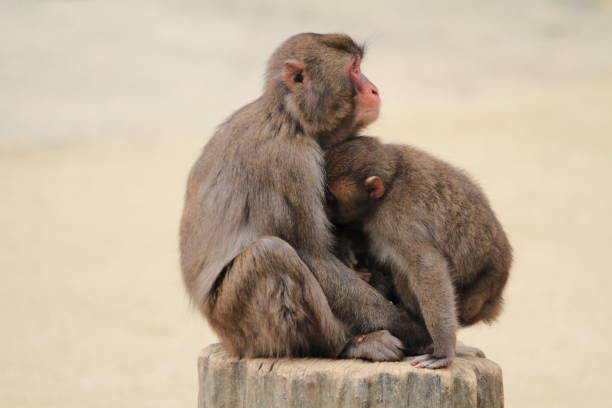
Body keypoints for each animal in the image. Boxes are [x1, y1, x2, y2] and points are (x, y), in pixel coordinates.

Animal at [179, 34, 432, 360]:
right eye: (354, 69)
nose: (374, 88)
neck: (291, 119)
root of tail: (228, 342)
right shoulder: (288, 164)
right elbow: (313, 257)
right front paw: (413, 329)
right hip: (238, 323)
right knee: (271, 255)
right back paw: (345, 344)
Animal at [326, 135, 512, 368]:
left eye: (331, 198)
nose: (323, 207)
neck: (391, 181)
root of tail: (494, 301)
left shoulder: (395, 218)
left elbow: (427, 267)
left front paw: (443, 351)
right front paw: (346, 246)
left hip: (470, 300)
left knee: (404, 271)